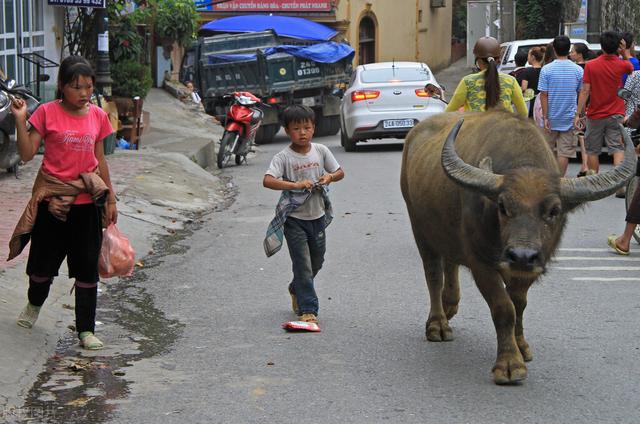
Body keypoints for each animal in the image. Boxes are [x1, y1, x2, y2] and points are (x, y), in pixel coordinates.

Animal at [400, 109, 636, 384]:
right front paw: (510, 364)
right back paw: (438, 324)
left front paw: (521, 346)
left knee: (450, 262)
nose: (522, 255)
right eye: (503, 207)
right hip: (419, 228)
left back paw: (450, 306)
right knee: (434, 275)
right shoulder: (481, 263)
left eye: (554, 210)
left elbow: (519, 305)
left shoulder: (530, 268)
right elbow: (504, 308)